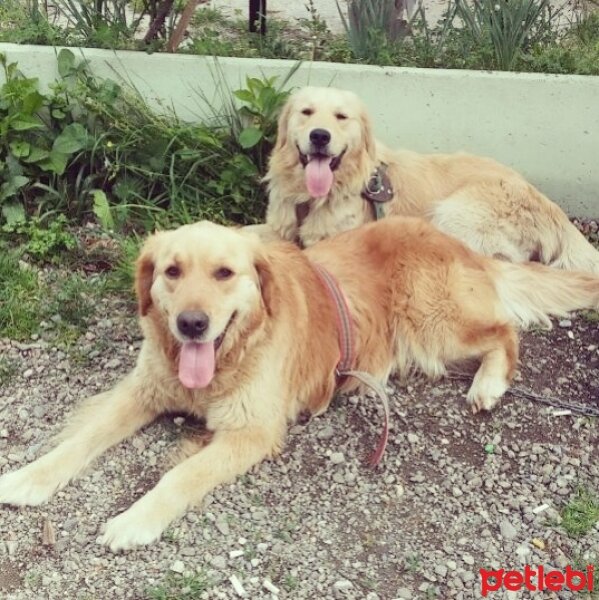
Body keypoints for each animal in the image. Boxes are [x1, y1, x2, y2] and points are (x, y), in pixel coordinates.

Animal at [1, 218, 599, 552]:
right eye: (171, 271)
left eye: (224, 274)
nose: (191, 324)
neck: (229, 357)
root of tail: (460, 244)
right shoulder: (142, 391)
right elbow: (79, 442)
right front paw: (28, 477)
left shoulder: (251, 432)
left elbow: (179, 476)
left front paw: (134, 520)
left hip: (434, 322)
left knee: (504, 330)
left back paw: (489, 384)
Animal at [266, 85, 599, 274]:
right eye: (306, 112)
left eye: (341, 117)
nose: (319, 136)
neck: (311, 198)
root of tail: (553, 209)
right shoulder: (277, 227)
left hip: (453, 213)